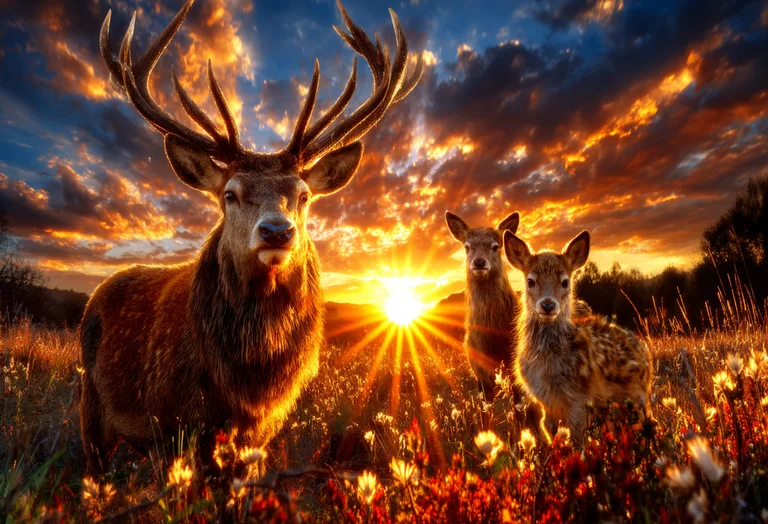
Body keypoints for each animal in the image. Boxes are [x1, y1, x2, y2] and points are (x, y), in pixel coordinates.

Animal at [80, 0, 423, 476]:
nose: (277, 230)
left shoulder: (260, 434)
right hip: (89, 407)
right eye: (230, 194)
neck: (245, 384)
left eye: (303, 195)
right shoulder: (170, 426)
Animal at [503, 230, 654, 448]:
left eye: (565, 282)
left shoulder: (578, 397)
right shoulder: (545, 401)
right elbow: (550, 430)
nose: (548, 305)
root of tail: (644, 350)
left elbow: (577, 438)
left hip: (637, 396)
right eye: (530, 281)